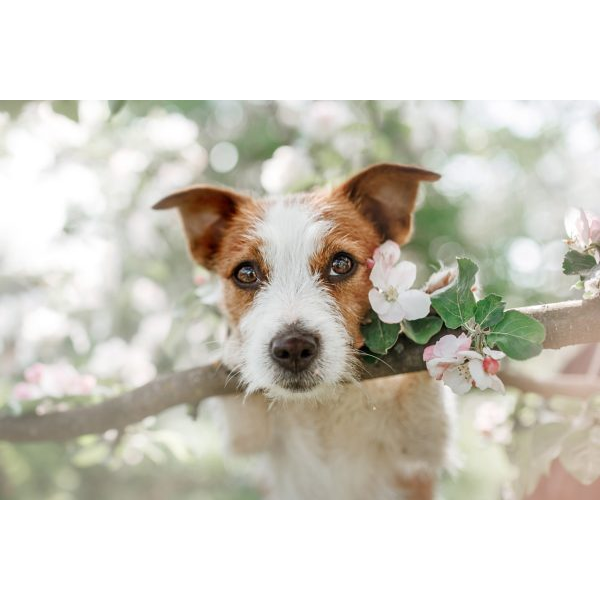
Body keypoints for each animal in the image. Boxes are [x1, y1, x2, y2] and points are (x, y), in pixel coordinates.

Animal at [155, 162, 454, 500]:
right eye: (246, 273)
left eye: (341, 264)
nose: (294, 347)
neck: (320, 406)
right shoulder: (251, 435)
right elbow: (244, 430)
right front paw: (233, 349)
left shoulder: (420, 446)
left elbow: (427, 413)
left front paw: (438, 312)